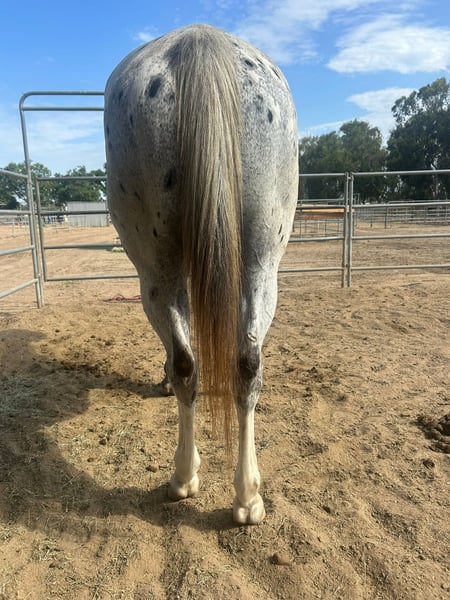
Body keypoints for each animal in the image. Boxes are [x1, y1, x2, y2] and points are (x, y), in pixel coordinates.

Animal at [104, 24, 298, 524]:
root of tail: (199, 43)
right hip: (259, 266)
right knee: (242, 364)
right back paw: (240, 496)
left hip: (158, 273)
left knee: (193, 363)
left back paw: (193, 480)